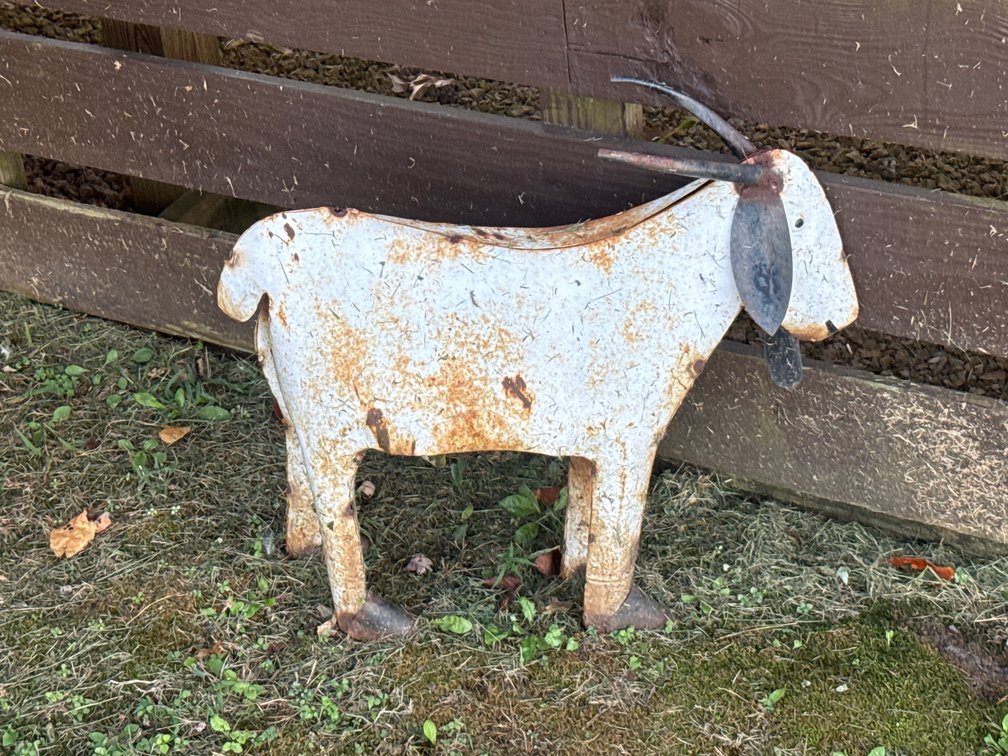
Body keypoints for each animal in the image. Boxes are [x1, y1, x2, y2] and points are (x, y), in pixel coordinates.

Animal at [218, 80, 858, 639]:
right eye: (800, 221)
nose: (843, 318)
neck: (672, 268)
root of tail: (259, 261)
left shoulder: (592, 440)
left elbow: (586, 512)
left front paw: (572, 573)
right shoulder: (631, 441)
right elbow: (620, 532)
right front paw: (619, 616)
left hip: (295, 411)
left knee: (300, 485)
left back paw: (301, 551)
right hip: (331, 431)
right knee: (337, 513)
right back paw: (372, 620)